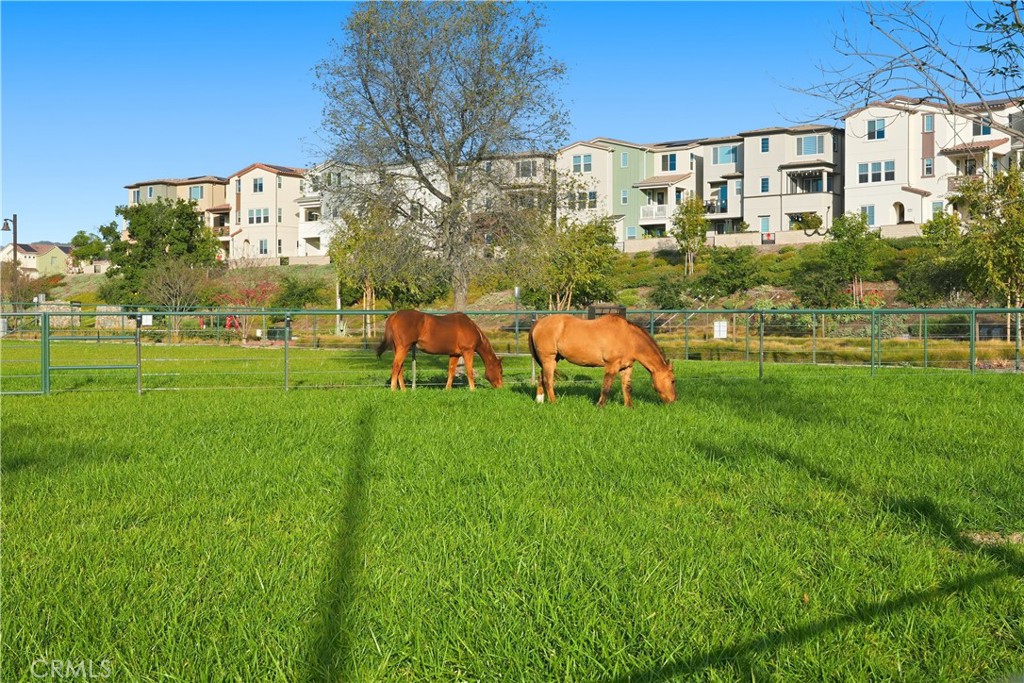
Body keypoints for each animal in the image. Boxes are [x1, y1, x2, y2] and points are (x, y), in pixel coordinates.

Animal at [528, 314, 676, 407]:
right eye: (673, 381)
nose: (674, 401)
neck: (629, 338)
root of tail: (539, 322)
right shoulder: (612, 365)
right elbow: (606, 387)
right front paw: (600, 405)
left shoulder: (626, 367)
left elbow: (627, 388)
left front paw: (629, 407)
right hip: (549, 359)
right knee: (548, 381)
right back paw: (554, 402)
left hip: (551, 360)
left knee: (541, 378)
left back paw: (539, 400)